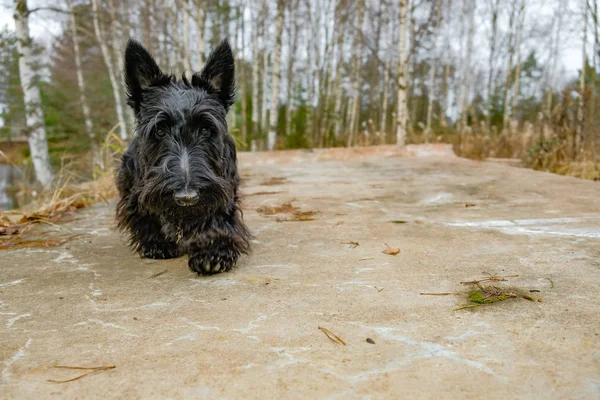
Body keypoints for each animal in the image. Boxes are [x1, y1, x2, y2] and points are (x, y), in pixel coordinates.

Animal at [116, 38, 250, 276]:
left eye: (205, 129)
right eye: (160, 131)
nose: (186, 197)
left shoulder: (225, 186)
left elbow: (219, 214)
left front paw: (213, 251)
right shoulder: (133, 187)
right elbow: (141, 213)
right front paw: (156, 243)